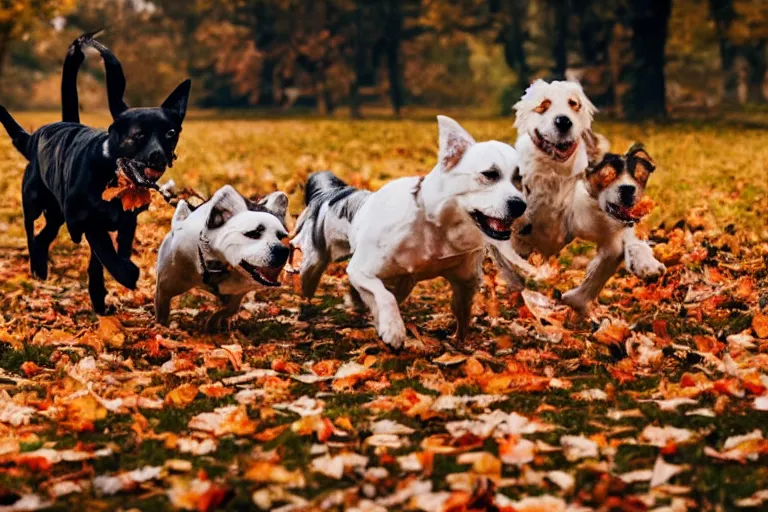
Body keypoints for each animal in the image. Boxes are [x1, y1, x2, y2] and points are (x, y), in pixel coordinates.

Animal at [0, 34, 191, 314]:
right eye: (138, 136)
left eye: (170, 133)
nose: (158, 156)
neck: (115, 177)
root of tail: (32, 139)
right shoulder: (83, 219)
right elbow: (104, 249)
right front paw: (126, 274)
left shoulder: (127, 221)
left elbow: (105, 256)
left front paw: (99, 295)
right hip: (34, 202)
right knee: (31, 233)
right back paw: (36, 265)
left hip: (56, 215)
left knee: (43, 237)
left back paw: (42, 267)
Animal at [156, 186, 292, 330]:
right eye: (254, 233)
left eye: (281, 236)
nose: (282, 250)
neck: (219, 264)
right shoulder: (165, 287)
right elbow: (162, 309)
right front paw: (161, 327)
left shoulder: (236, 292)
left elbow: (227, 310)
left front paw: (212, 324)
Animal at [292, 115, 536, 348]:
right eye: (489, 174)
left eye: (519, 178)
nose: (519, 205)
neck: (438, 226)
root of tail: (335, 193)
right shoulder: (361, 270)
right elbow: (383, 296)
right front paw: (393, 330)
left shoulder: (465, 280)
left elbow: (463, 311)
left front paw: (459, 341)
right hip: (314, 262)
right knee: (310, 280)